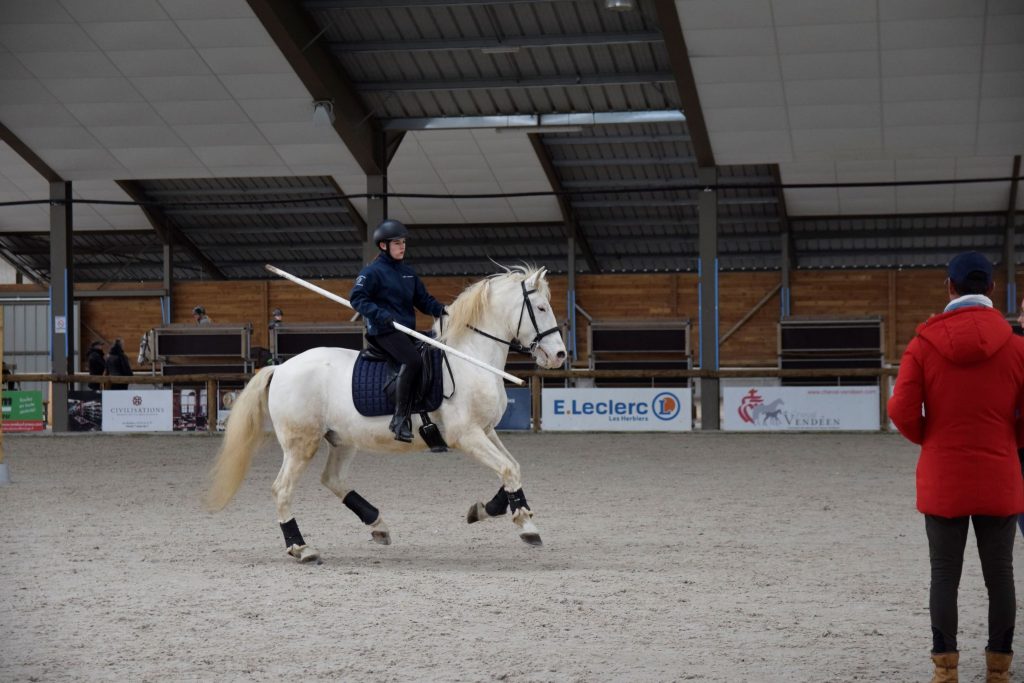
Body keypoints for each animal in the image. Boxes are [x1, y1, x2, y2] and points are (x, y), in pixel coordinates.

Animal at [204, 265, 567, 562]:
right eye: (541, 308)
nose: (559, 355)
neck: (470, 358)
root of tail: (280, 368)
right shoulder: (466, 435)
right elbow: (507, 469)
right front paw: (526, 525)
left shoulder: (487, 430)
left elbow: (512, 469)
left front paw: (484, 510)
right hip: (300, 444)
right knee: (282, 489)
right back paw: (301, 547)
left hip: (341, 440)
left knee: (332, 479)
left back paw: (378, 525)